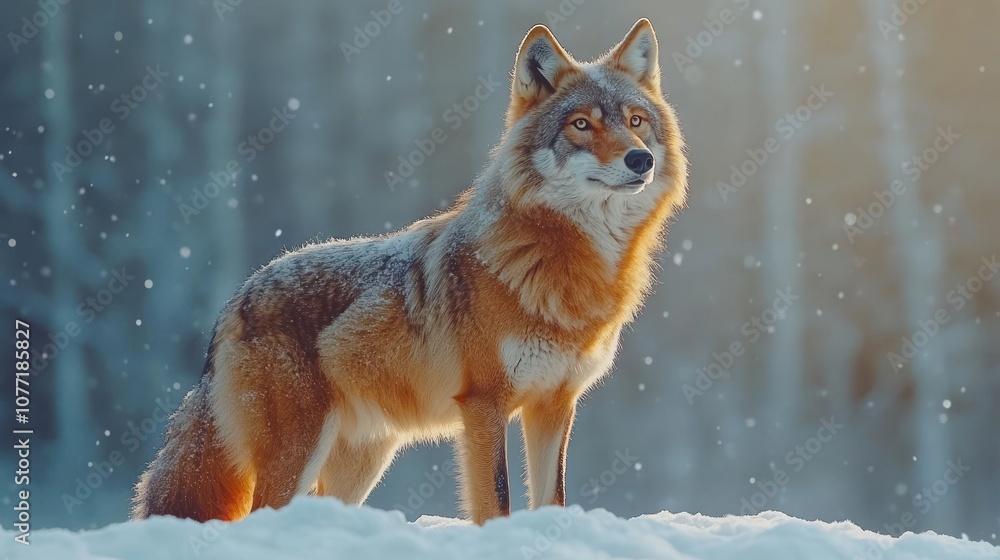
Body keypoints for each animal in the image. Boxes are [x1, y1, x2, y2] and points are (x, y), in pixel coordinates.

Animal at [133, 18, 687, 525]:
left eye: (636, 121)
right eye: (581, 125)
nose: (639, 160)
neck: (564, 267)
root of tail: (235, 300)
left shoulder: (554, 405)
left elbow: (552, 499)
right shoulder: (483, 405)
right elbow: (497, 501)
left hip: (361, 460)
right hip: (299, 453)